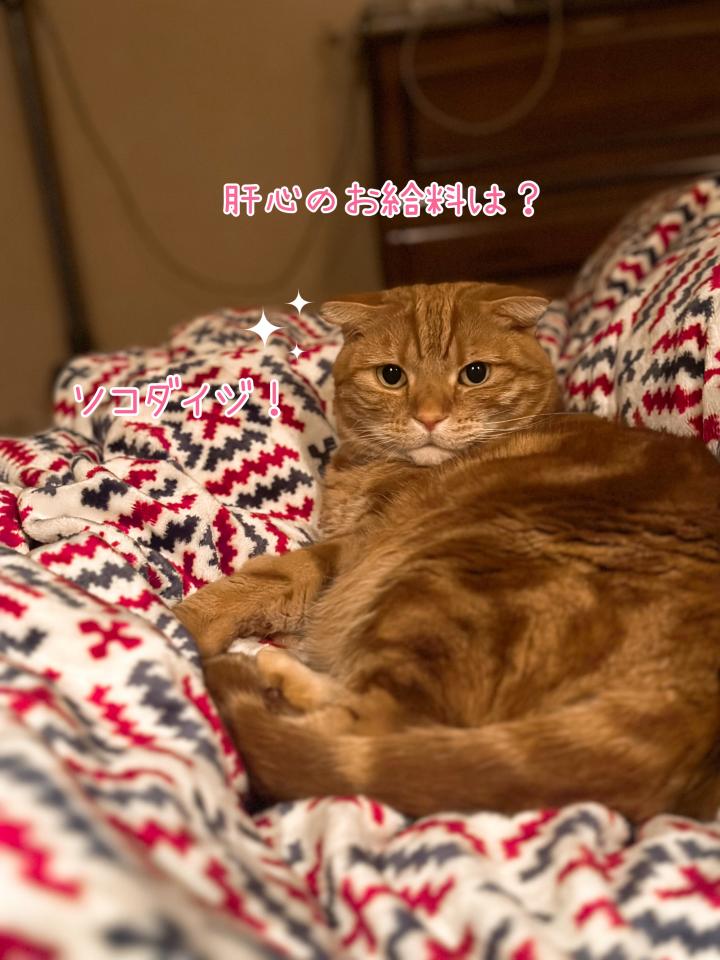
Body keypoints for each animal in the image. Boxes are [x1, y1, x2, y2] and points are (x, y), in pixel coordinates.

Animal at [174, 281, 720, 823]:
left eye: (475, 373)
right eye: (392, 376)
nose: (430, 417)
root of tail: (693, 707)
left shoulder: (353, 547)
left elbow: (269, 579)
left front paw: (179, 624)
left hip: (438, 586)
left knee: (369, 731)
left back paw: (266, 670)